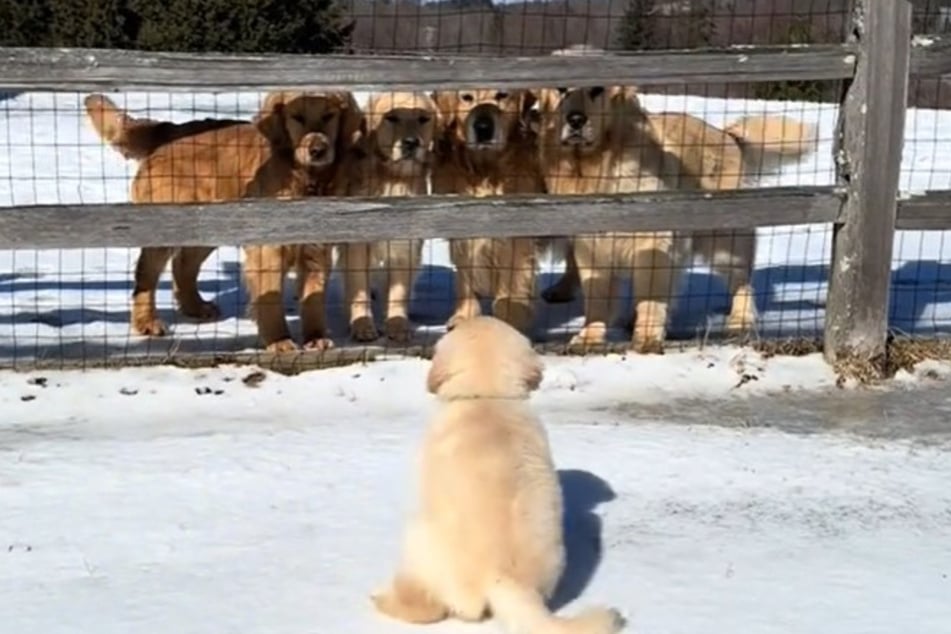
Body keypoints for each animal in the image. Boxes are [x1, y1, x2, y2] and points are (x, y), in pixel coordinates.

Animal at [85, 89, 362, 350]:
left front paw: (315, 339)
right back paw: (147, 322)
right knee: (147, 274)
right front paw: (279, 341)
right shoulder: (267, 250)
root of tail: (172, 130)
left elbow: (313, 297)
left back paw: (195, 307)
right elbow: (270, 299)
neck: (306, 178)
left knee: (183, 265)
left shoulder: (317, 248)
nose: (318, 150)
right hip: (164, 228)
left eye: (329, 116)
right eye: (297, 117)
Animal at [332, 91, 440, 344]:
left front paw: (397, 326)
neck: (393, 178)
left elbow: (398, 291)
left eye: (423, 118)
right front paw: (362, 325)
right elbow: (359, 288)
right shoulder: (357, 247)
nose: (411, 143)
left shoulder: (405, 247)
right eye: (391, 118)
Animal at [430, 90, 544, 336]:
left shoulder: (517, 238)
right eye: (466, 97)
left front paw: (509, 320)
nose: (483, 127)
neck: (485, 170)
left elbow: (510, 286)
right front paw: (465, 318)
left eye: (502, 95)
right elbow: (465, 280)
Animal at [536, 84, 692, 350]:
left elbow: (650, 294)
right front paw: (590, 336)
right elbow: (596, 292)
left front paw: (647, 338)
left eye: (597, 89)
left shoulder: (653, 239)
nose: (576, 119)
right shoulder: (589, 242)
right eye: (562, 89)